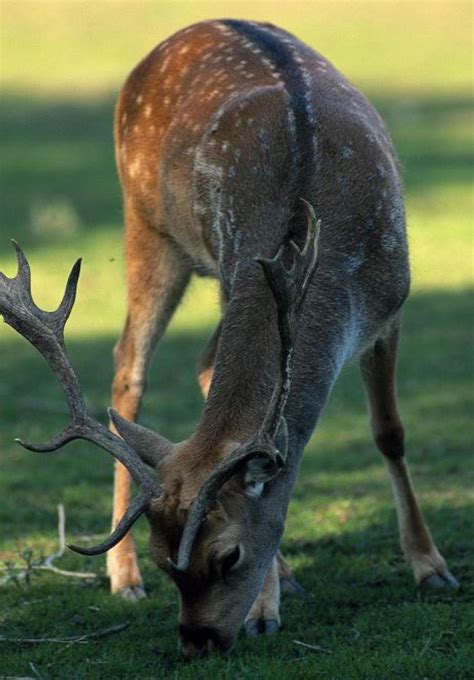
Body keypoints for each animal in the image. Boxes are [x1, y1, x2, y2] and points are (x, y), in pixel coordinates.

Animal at [0, 19, 460, 660]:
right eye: (165, 562)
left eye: (228, 557)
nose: (198, 642)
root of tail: (187, 30)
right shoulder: (237, 268)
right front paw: (265, 611)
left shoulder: (390, 304)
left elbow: (389, 432)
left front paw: (431, 567)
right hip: (149, 224)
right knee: (129, 368)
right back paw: (122, 578)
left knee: (196, 364)